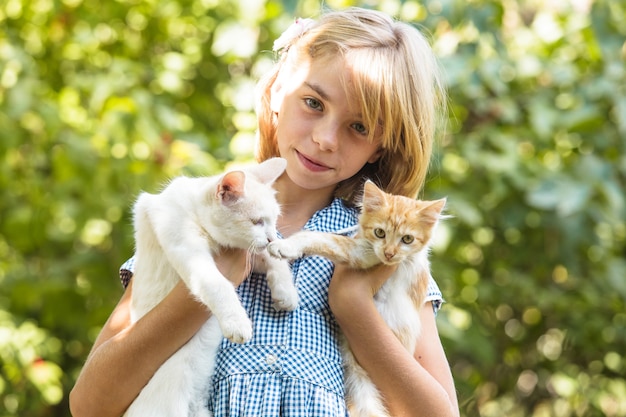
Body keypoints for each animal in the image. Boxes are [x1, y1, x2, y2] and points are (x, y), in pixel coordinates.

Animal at [123, 157, 298, 416]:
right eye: (257, 222)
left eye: (274, 221)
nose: (271, 237)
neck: (195, 210)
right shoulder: (189, 252)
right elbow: (218, 286)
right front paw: (237, 323)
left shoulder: (250, 254)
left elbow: (273, 258)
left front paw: (285, 292)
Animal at [268, 180, 444, 416]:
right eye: (380, 232)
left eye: (407, 239)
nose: (389, 253)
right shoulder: (369, 248)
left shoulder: (363, 255)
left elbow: (319, 236)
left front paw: (285, 246)